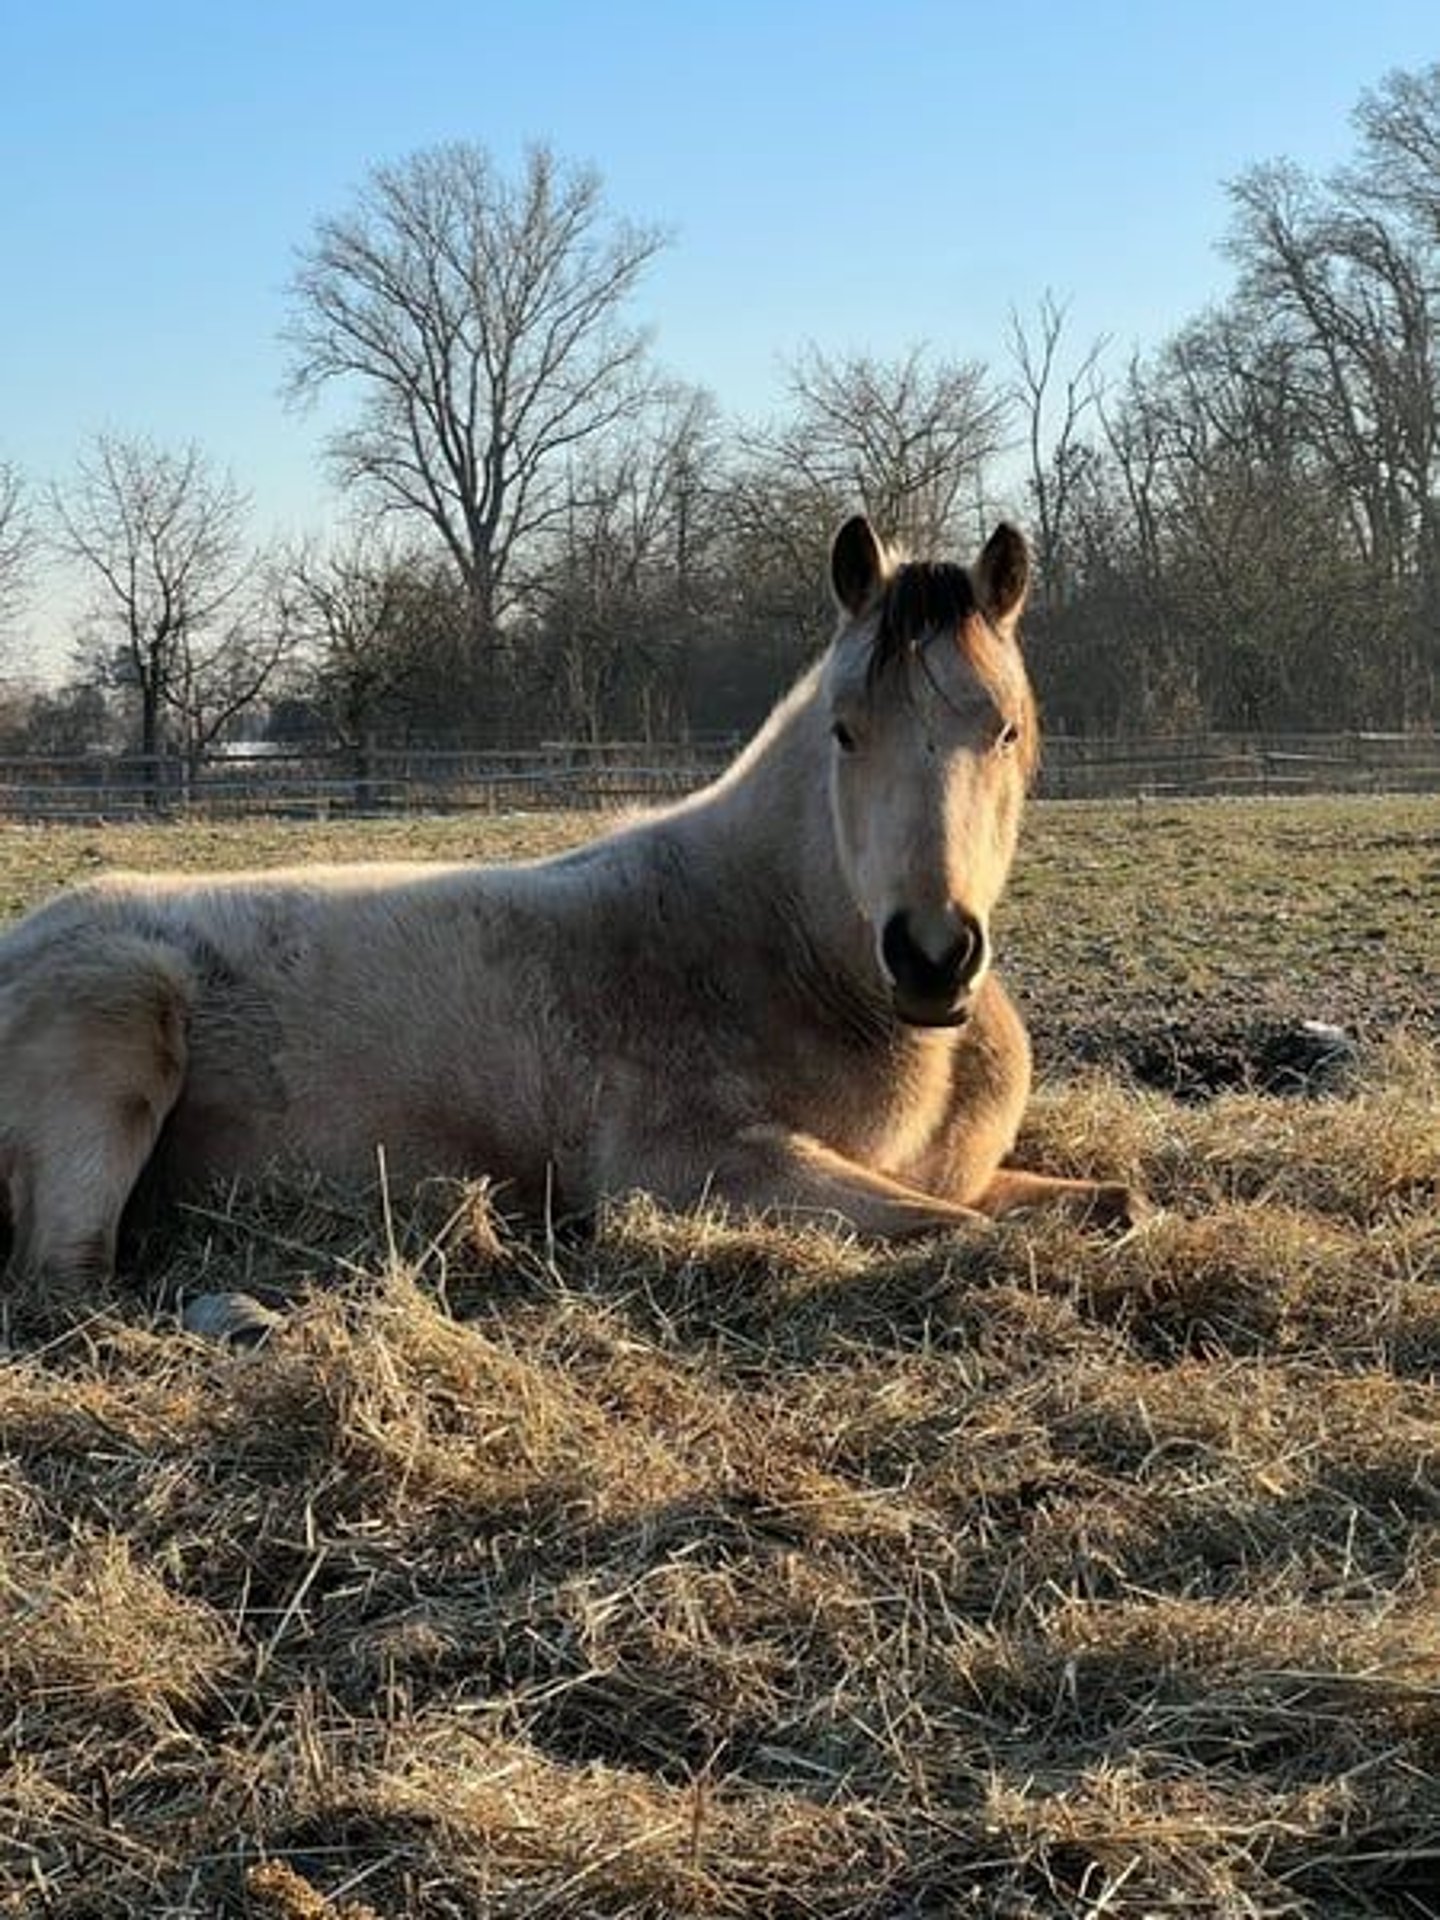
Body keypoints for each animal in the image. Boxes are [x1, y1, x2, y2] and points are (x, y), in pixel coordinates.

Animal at [2, 514, 1152, 1290]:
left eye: (1004, 729)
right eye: (844, 731)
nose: (931, 955)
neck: (783, 958)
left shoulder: (961, 1172)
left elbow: (1110, 1205)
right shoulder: (696, 1169)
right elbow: (960, 1230)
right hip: (120, 1024)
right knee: (69, 1279)